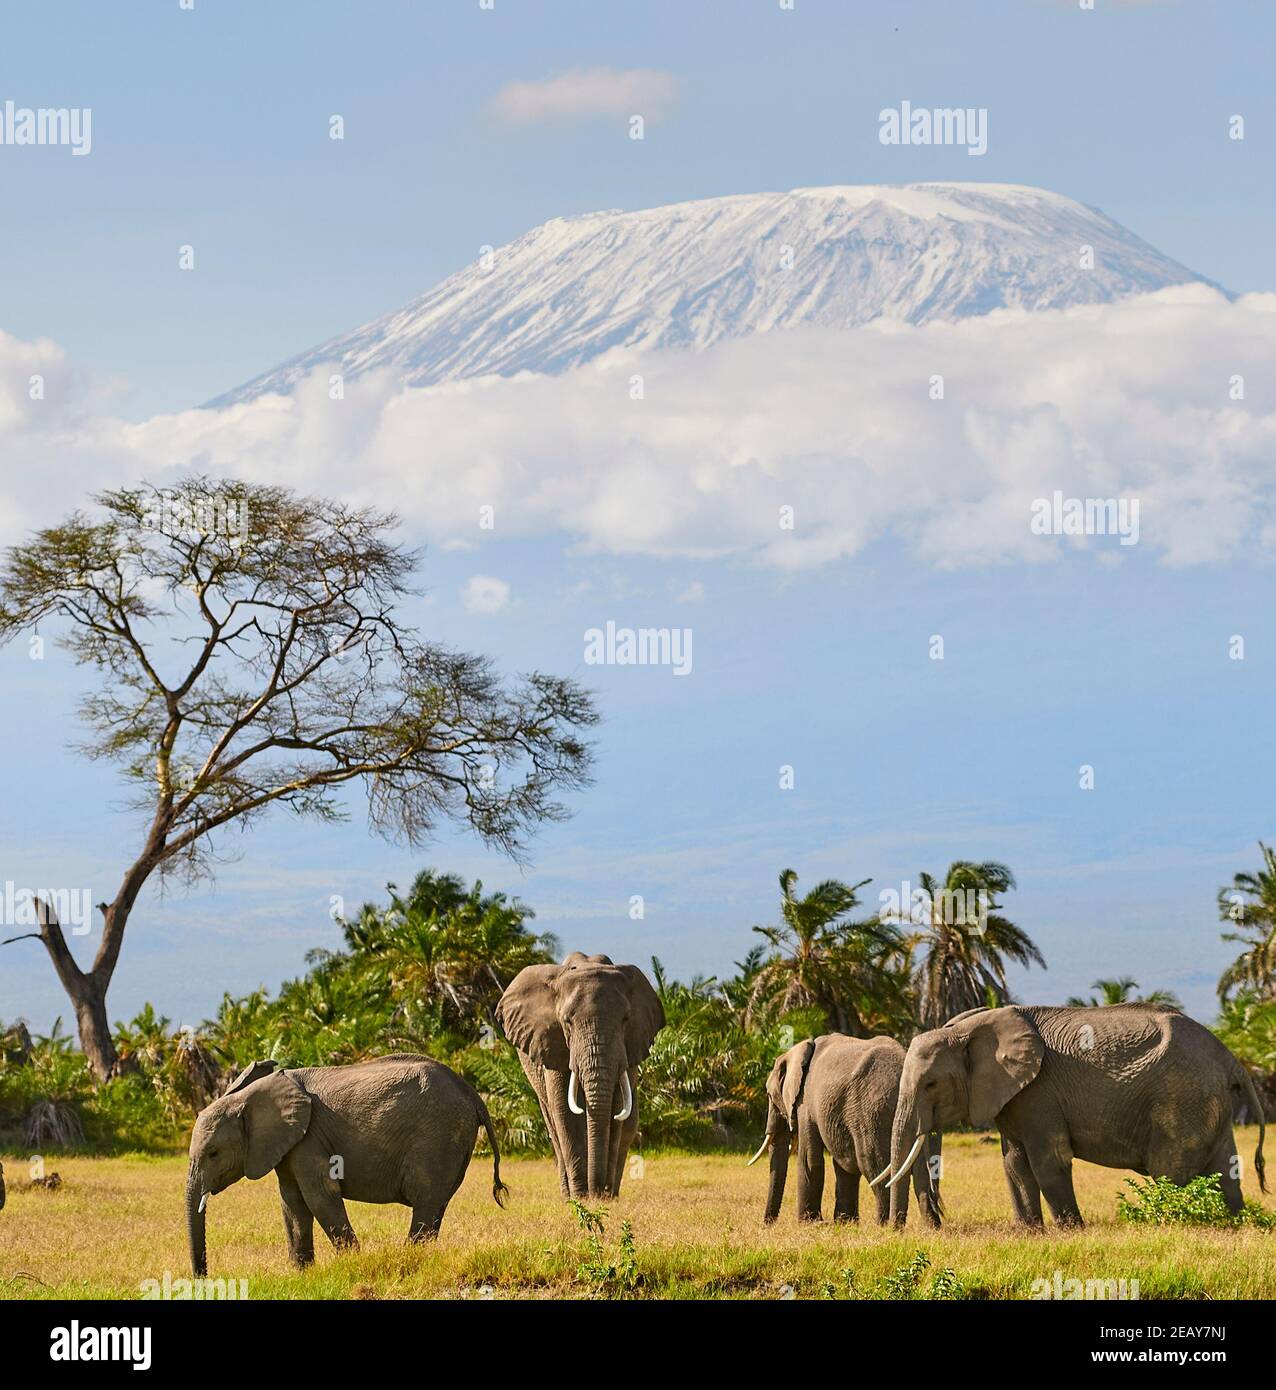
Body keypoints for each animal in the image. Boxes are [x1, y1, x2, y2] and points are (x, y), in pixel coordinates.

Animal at [494, 950, 664, 1200]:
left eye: (625, 1020)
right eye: (567, 1021)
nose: (598, 1191)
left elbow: (616, 1109)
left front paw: (603, 1196)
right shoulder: (552, 1043)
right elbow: (565, 1113)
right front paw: (581, 1196)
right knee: (553, 1124)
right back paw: (568, 1194)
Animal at [756, 1034, 945, 1228]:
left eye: (769, 1095)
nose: (766, 1224)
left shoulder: (805, 1102)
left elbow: (809, 1158)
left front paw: (809, 1224)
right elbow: (843, 1163)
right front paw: (844, 1223)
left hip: (873, 1113)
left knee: (872, 1164)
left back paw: (883, 1226)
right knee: (921, 1169)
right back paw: (931, 1228)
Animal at [889, 1006, 1267, 1223]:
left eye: (931, 1084)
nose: (895, 1229)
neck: (967, 1029)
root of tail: (1231, 1059)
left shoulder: (1039, 1092)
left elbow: (1048, 1162)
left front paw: (1072, 1231)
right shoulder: (1013, 1096)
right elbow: (1014, 1163)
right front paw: (1030, 1234)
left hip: (1182, 1099)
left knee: (1169, 1171)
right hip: (1209, 1103)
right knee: (1226, 1170)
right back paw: (1234, 1224)